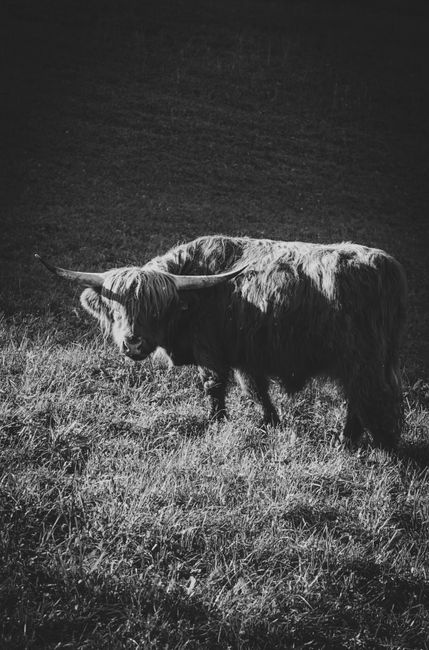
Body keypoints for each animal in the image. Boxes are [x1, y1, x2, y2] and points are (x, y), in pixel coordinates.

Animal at [36, 235, 407, 449]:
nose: (133, 344)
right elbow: (256, 390)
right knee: (358, 399)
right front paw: (270, 423)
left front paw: (215, 424)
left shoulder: (211, 352)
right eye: (116, 308)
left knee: (370, 398)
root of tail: (386, 264)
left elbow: (214, 387)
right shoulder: (245, 355)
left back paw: (372, 443)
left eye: (155, 309)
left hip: (363, 361)